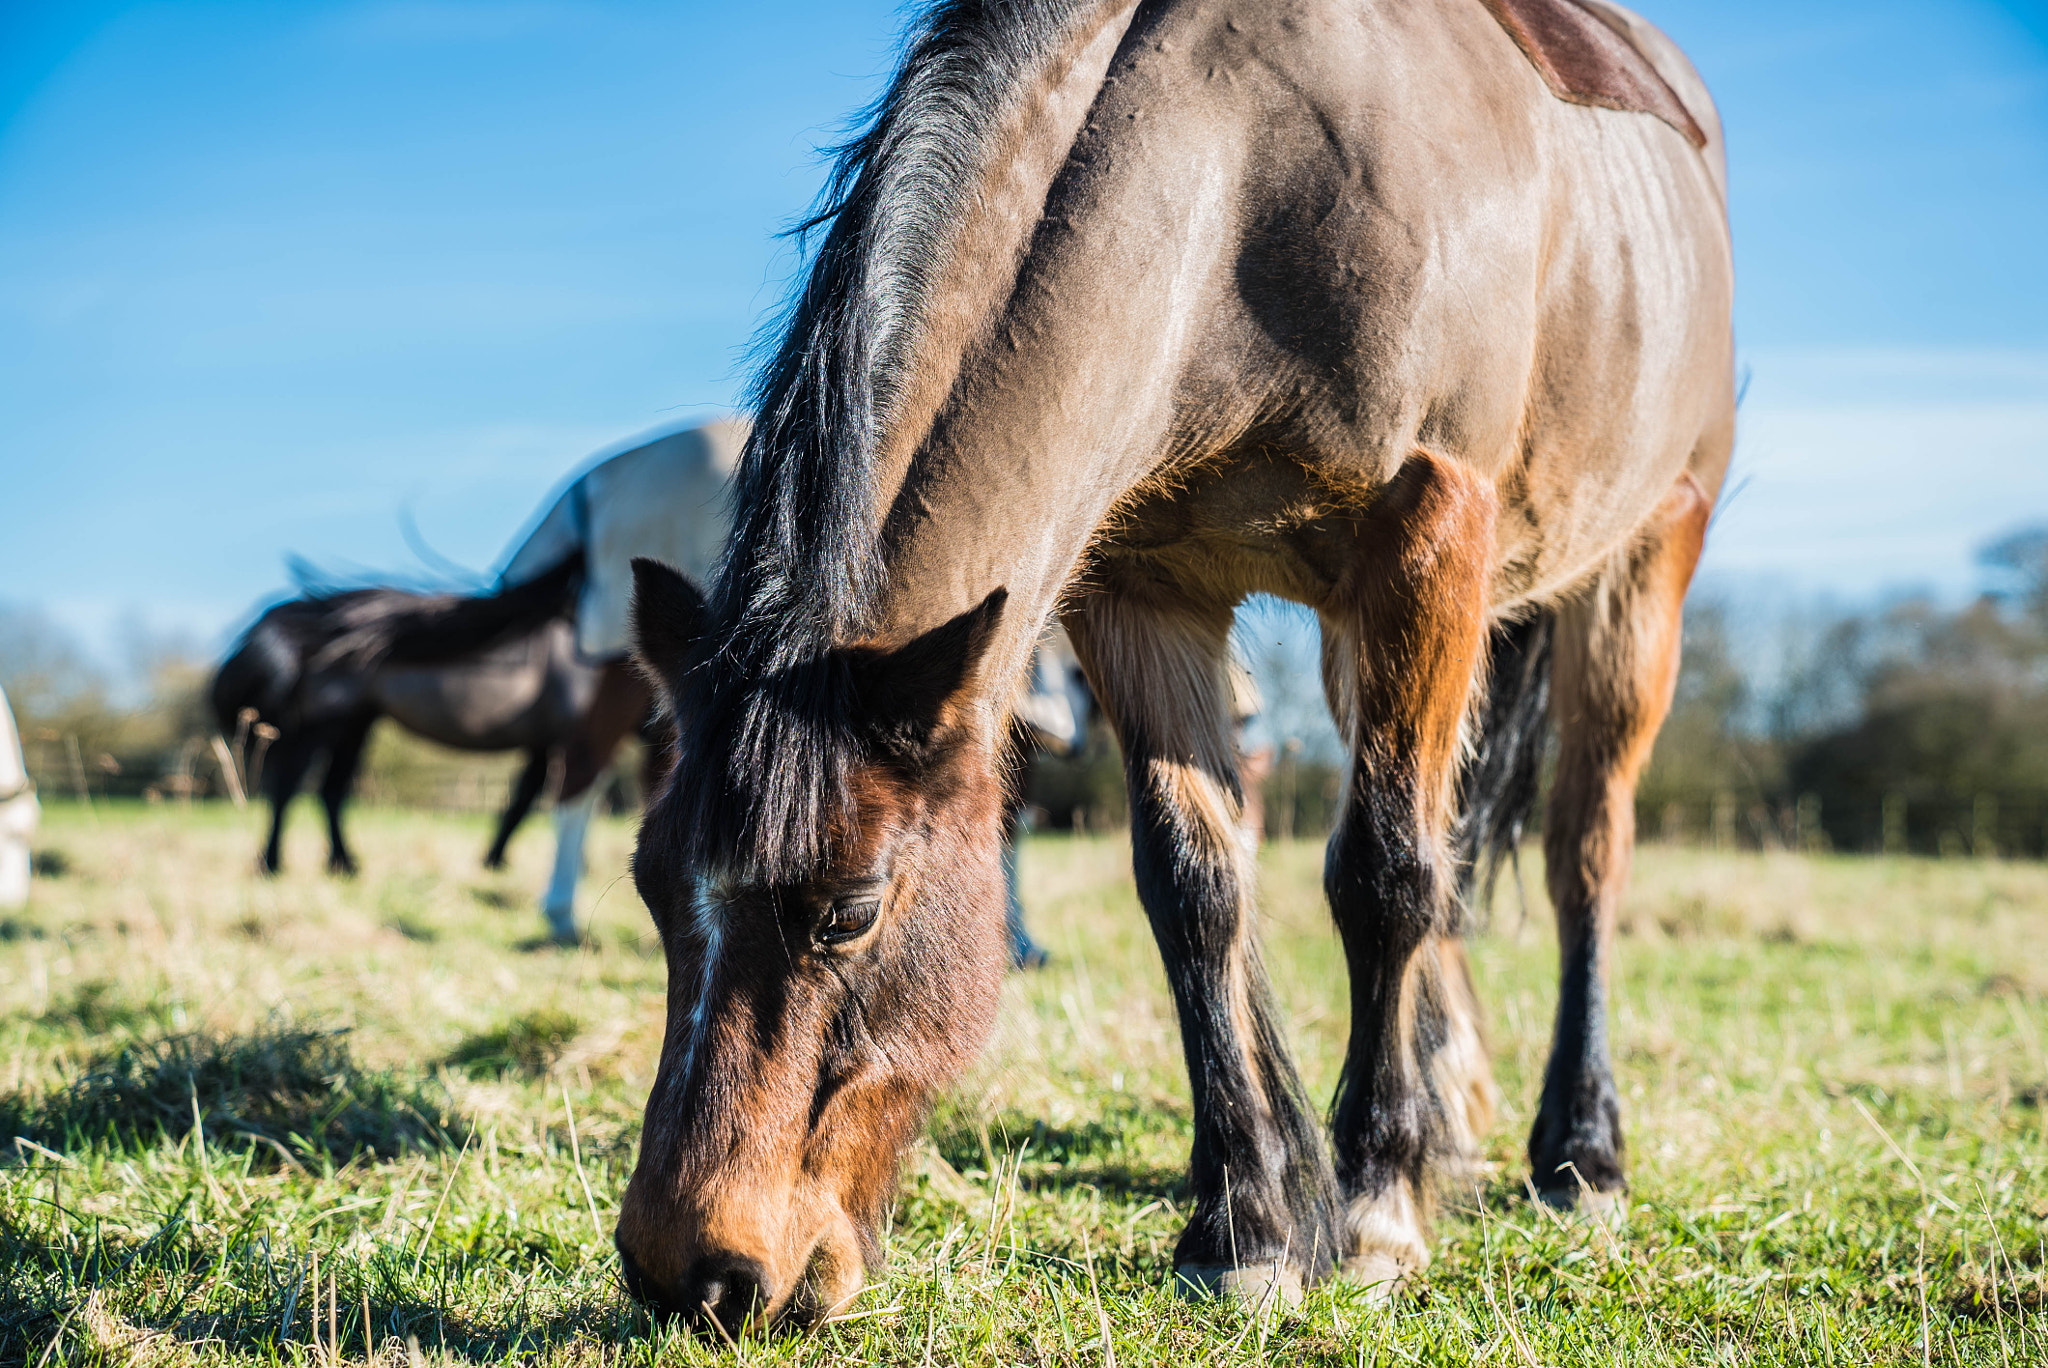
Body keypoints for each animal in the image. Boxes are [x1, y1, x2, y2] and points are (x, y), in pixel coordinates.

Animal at [610, 0, 1728, 1327]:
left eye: (849, 911)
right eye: (648, 887)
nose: (686, 1273)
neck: (1240, 184)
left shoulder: (1430, 531)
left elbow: (1383, 877)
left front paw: (1369, 1203)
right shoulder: (1142, 589)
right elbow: (1193, 887)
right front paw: (1243, 1223)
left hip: (1641, 559)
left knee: (1579, 851)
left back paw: (1576, 1151)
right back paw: (1448, 1109)